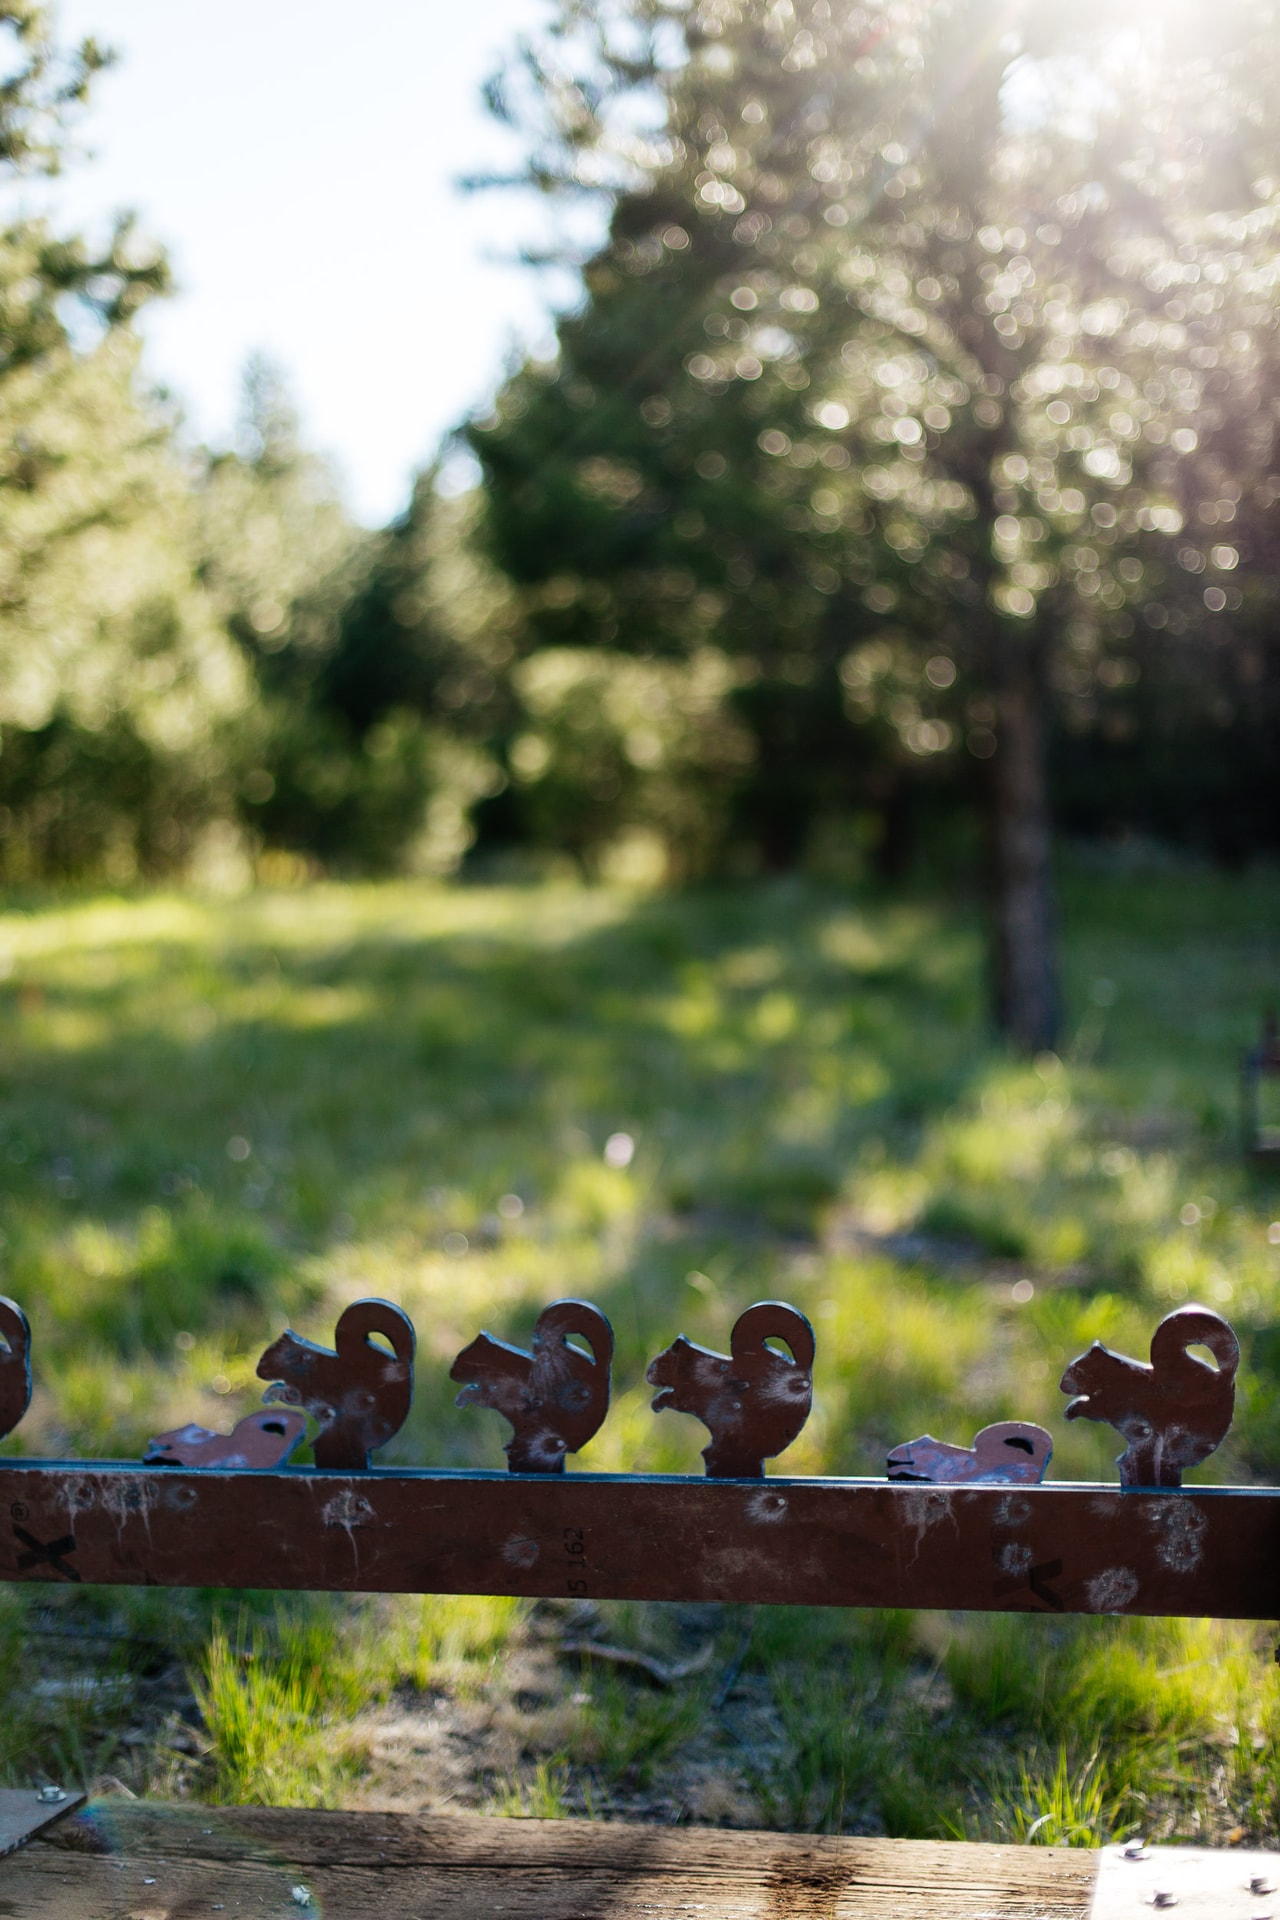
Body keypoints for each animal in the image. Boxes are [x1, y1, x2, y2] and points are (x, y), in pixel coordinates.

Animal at [257, 1298, 416, 1470]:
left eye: (287, 1357)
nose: (259, 1370)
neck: (312, 1366)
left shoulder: (310, 1390)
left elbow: (291, 1395)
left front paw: (270, 1394)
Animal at [451, 1300, 612, 1473]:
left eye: (465, 1357)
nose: (452, 1372)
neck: (499, 1367)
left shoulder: (501, 1391)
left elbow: (481, 1396)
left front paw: (462, 1398)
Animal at [646, 1301, 814, 1478]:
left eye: (664, 1361)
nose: (649, 1374)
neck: (693, 1367)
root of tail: (804, 1375)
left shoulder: (691, 1392)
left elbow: (674, 1399)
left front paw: (658, 1403)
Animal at [1059, 1304, 1239, 1488]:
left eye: (1078, 1371)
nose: (1062, 1386)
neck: (1116, 1377)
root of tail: (1225, 1379)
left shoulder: (1119, 1404)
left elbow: (1094, 1408)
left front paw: (1073, 1410)